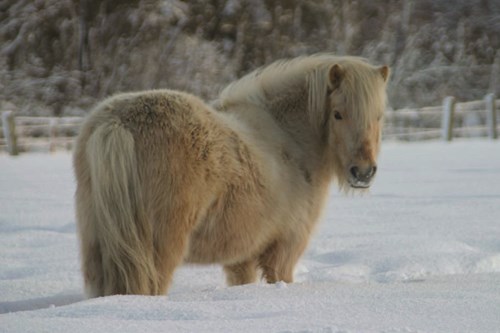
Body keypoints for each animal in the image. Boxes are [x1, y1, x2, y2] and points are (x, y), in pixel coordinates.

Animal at [73, 53, 390, 296]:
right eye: (338, 114)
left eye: (379, 116)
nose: (362, 172)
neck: (288, 137)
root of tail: (116, 124)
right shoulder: (284, 251)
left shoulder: (242, 258)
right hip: (158, 254)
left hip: (98, 247)